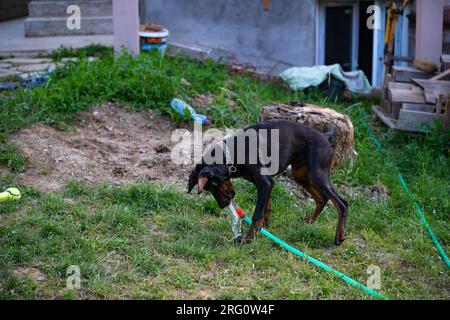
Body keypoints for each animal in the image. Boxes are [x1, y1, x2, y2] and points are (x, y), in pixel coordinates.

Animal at [186, 119, 348, 246]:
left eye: (213, 186)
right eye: (209, 189)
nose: (223, 205)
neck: (232, 152)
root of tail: (325, 137)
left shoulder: (264, 183)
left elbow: (257, 213)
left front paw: (248, 238)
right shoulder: (263, 184)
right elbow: (266, 207)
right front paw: (262, 228)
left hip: (317, 174)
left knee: (342, 203)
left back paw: (339, 236)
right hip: (300, 175)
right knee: (322, 198)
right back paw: (310, 220)